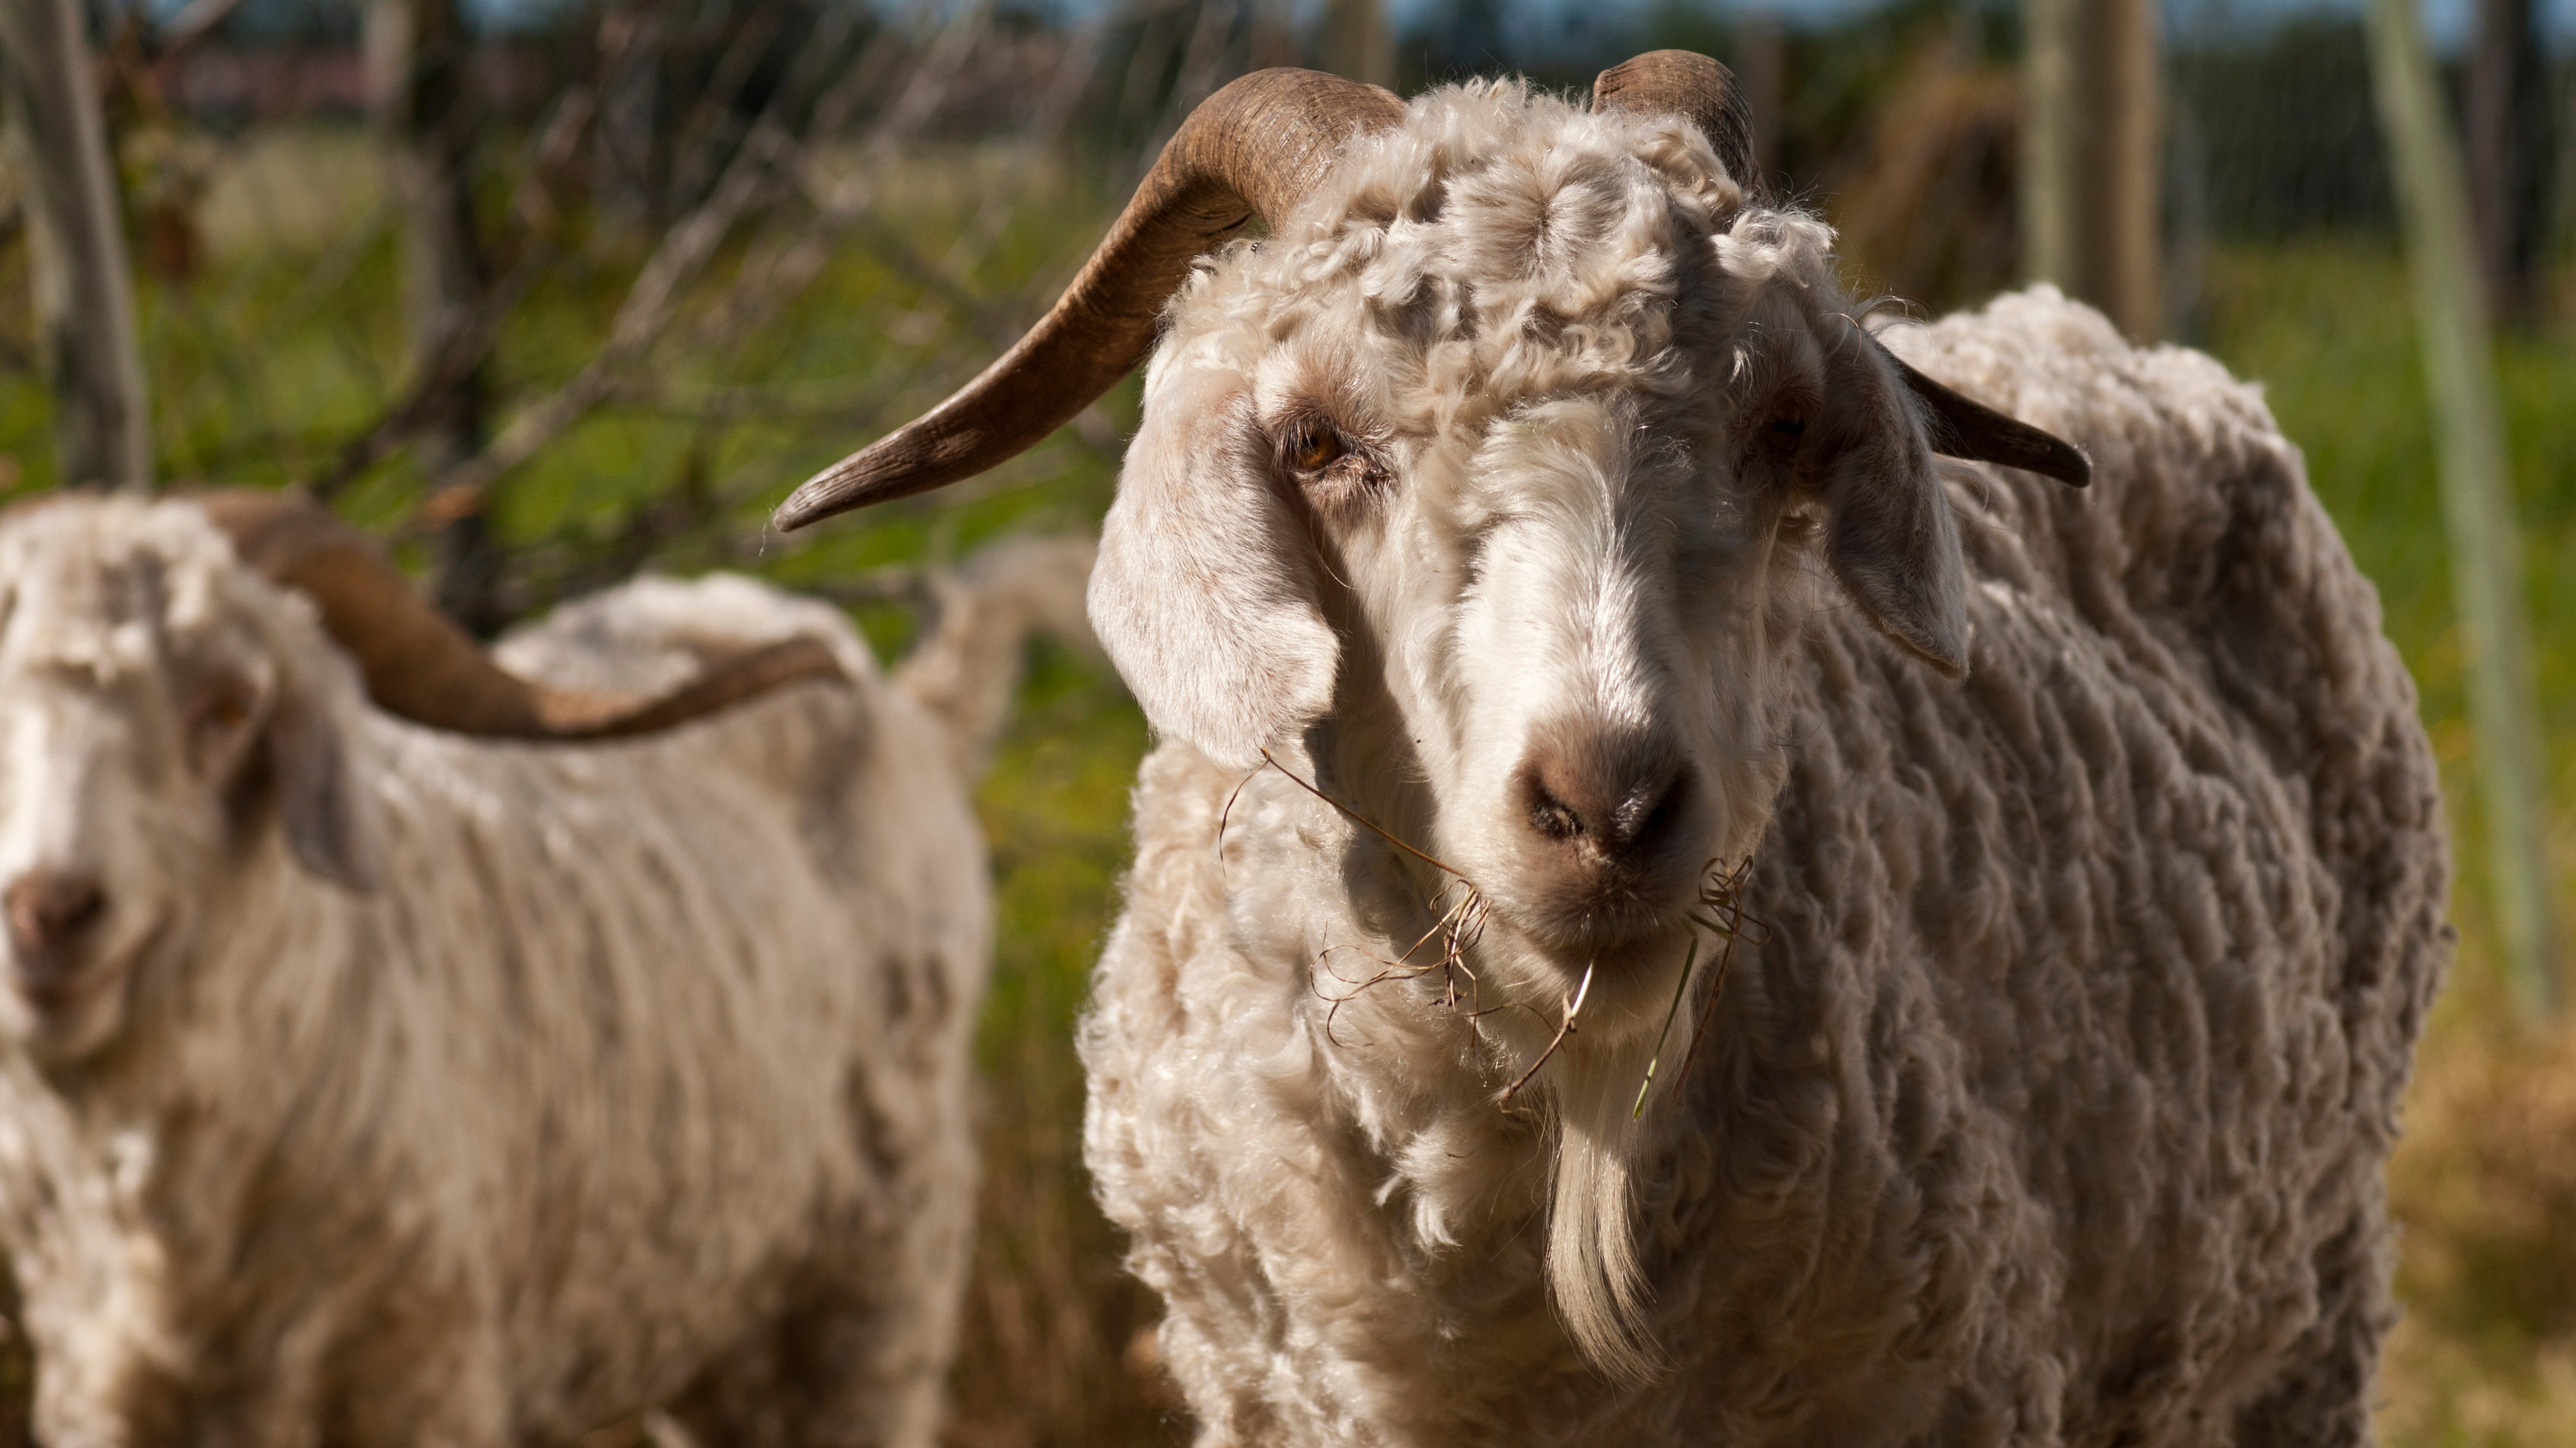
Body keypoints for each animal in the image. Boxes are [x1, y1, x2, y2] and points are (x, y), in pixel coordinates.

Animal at [0, 491, 1083, 1447]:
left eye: (231, 706)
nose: (50, 910)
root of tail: (909, 706)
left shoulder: (425, 1371)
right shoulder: (98, 1392)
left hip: (880, 1288)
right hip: (711, 1313)